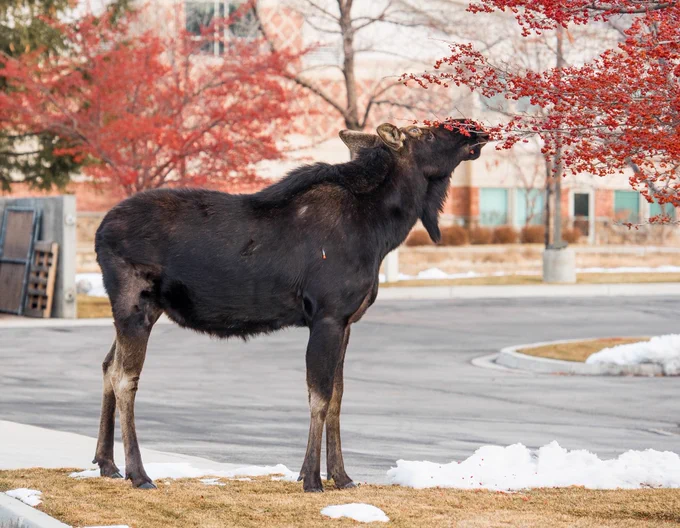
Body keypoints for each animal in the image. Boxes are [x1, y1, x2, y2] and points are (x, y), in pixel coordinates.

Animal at [92, 121, 487, 492]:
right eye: (424, 132)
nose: (476, 129)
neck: (382, 229)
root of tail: (99, 232)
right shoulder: (327, 315)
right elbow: (320, 396)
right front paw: (311, 478)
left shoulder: (346, 322)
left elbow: (338, 397)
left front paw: (342, 476)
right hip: (135, 302)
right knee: (125, 378)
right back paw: (138, 473)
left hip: (144, 309)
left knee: (108, 365)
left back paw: (107, 464)